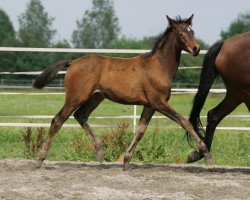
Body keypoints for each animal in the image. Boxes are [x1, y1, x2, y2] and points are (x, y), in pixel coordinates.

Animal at [32, 14, 211, 170]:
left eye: (192, 31)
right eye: (181, 33)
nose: (196, 48)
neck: (158, 67)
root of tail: (73, 63)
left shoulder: (150, 105)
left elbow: (140, 130)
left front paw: (126, 161)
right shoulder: (159, 102)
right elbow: (185, 121)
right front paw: (205, 153)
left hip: (96, 97)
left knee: (81, 116)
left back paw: (100, 153)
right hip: (76, 97)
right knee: (57, 120)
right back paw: (39, 159)